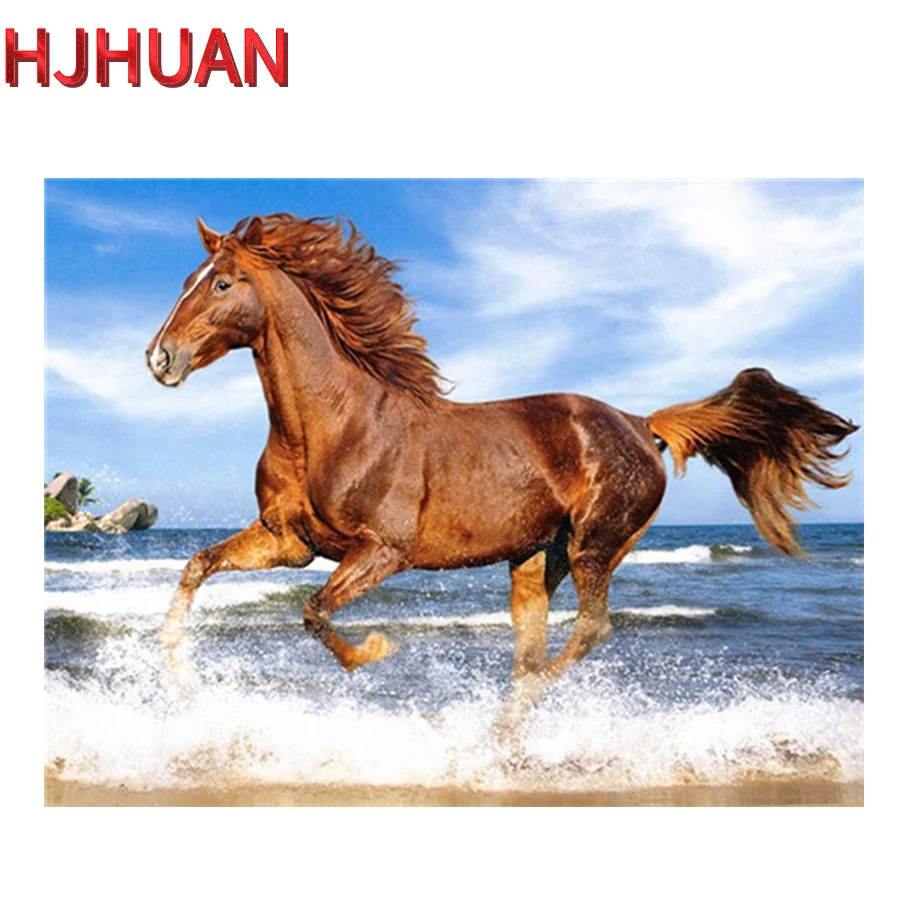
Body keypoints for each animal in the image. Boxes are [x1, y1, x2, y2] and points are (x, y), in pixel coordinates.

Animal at [146, 213, 858, 694]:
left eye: (222, 284)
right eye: (186, 279)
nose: (159, 358)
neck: (332, 425)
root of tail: (639, 421)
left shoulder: (384, 551)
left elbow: (315, 611)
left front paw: (375, 652)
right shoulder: (288, 542)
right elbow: (196, 567)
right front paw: (173, 668)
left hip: (595, 545)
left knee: (588, 632)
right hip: (537, 559)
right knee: (536, 643)